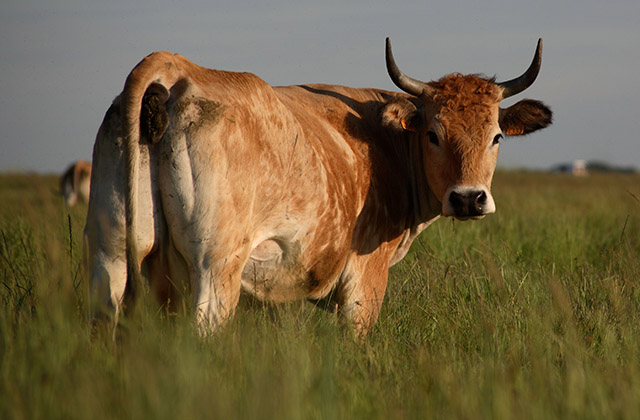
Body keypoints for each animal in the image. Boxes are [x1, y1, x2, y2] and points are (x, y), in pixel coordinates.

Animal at [85, 37, 552, 336]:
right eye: (433, 134)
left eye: (496, 136)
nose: (469, 198)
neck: (385, 141)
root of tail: (178, 68)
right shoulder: (365, 280)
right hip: (215, 270)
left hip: (111, 257)